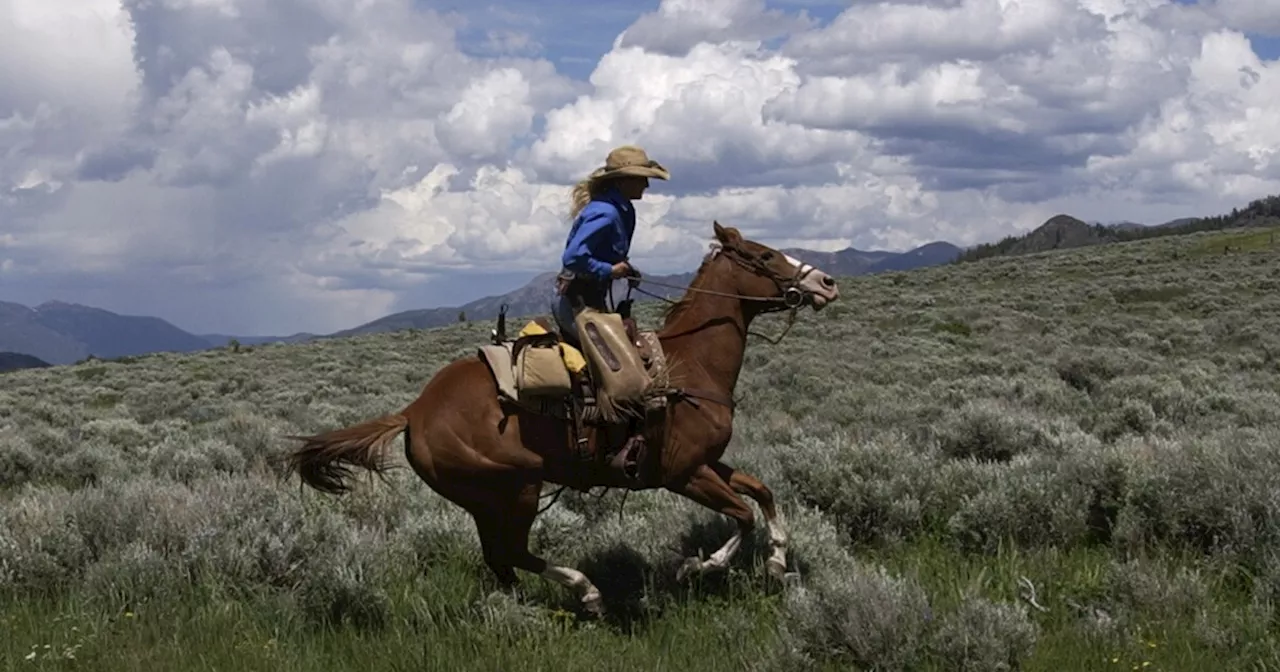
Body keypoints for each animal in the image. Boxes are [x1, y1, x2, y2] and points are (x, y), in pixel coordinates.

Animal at [282, 222, 839, 616]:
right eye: (764, 256)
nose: (826, 282)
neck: (689, 364)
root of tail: (414, 410)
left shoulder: (708, 464)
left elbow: (762, 493)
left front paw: (777, 561)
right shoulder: (683, 474)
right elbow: (741, 515)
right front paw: (697, 567)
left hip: (485, 500)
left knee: (501, 560)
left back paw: (529, 607)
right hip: (517, 488)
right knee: (513, 552)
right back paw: (586, 594)